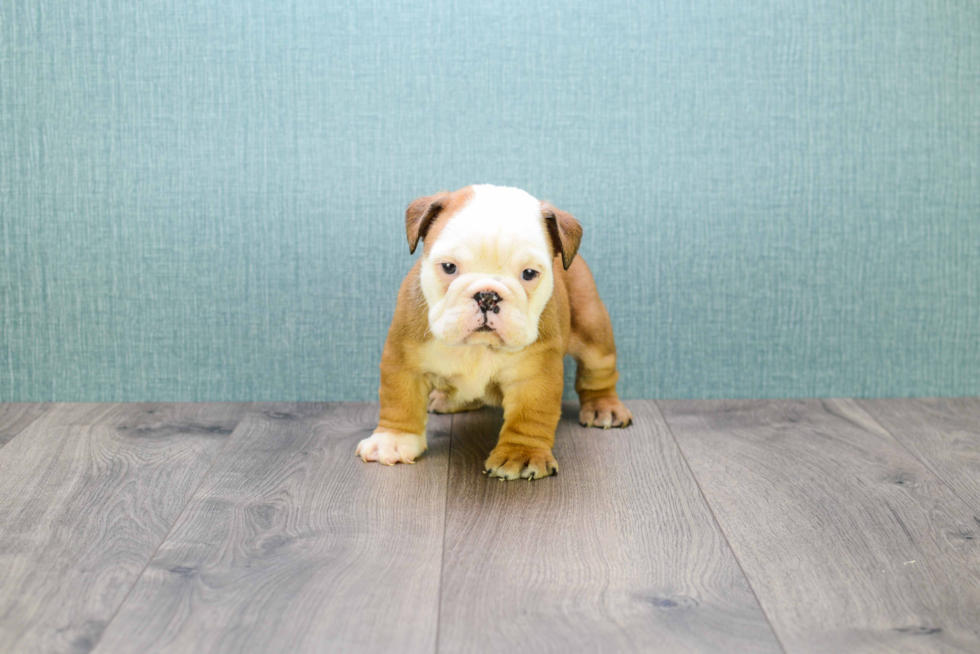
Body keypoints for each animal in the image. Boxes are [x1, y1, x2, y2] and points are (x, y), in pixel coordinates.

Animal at [356, 184, 632, 482]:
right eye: (449, 267)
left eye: (529, 273)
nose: (487, 296)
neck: (477, 346)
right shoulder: (404, 360)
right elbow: (399, 401)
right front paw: (393, 441)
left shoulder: (534, 376)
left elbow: (529, 416)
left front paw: (521, 455)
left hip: (593, 328)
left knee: (598, 373)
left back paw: (604, 407)